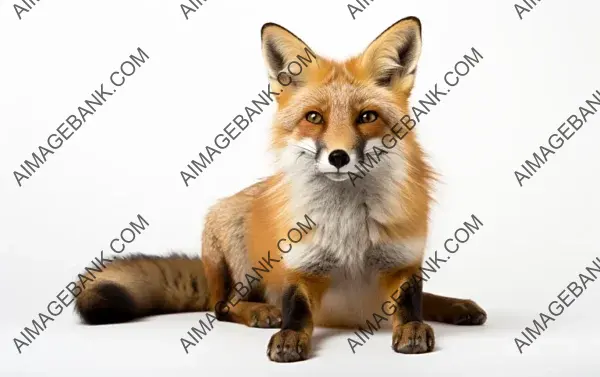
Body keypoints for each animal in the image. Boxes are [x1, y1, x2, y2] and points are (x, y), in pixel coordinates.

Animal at [75, 16, 488, 362]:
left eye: (367, 117)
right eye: (314, 118)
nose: (338, 157)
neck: (348, 228)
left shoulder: (402, 262)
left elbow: (410, 303)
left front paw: (415, 326)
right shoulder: (302, 267)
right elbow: (298, 310)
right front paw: (290, 336)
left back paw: (457, 306)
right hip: (234, 242)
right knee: (222, 308)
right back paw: (261, 311)